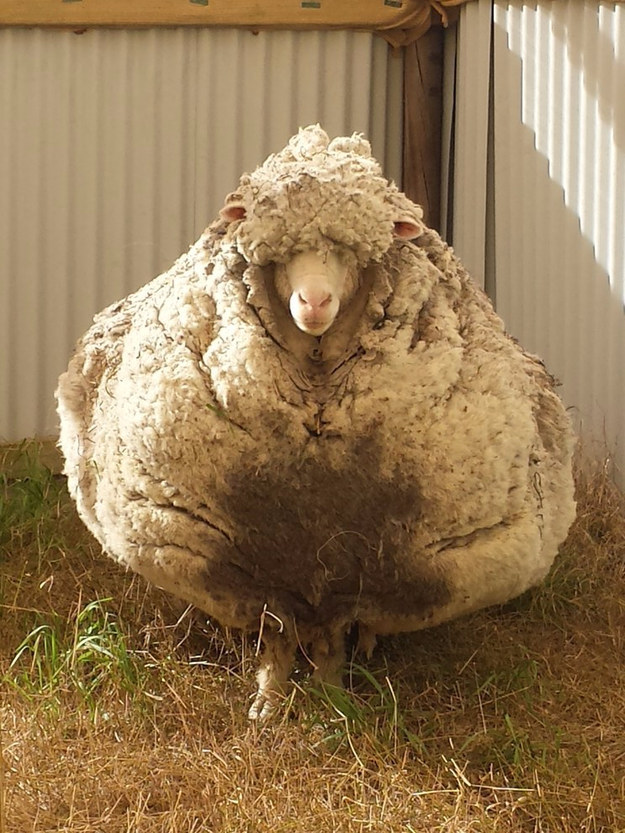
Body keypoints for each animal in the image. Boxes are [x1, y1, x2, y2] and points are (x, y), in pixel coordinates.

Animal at [56, 125, 576, 721]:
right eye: (281, 256)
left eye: (351, 254)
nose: (314, 301)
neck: (317, 385)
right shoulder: (256, 571)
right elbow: (277, 638)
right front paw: (267, 706)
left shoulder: (357, 579)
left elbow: (334, 642)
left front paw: (332, 705)